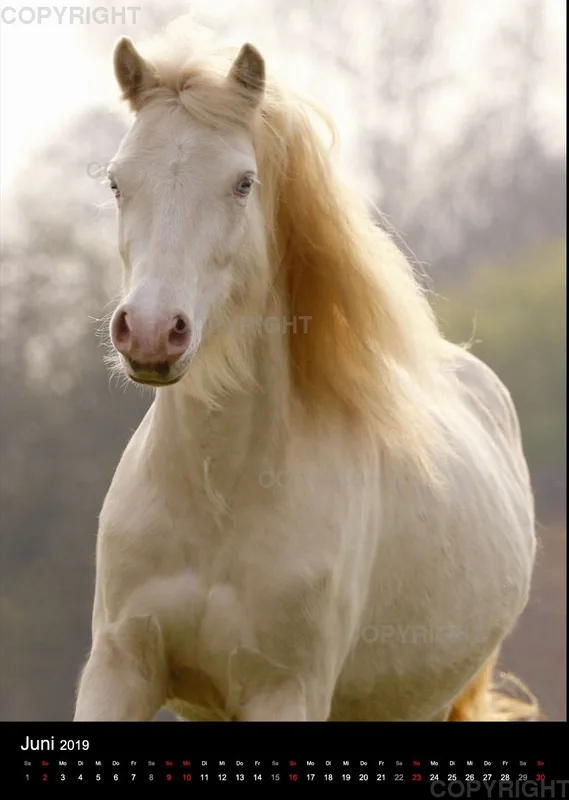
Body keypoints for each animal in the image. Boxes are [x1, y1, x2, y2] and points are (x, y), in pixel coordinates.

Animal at [73, 28, 538, 723]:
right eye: (116, 182)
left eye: (243, 183)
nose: (153, 331)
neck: (219, 495)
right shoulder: (120, 668)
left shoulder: (286, 691)